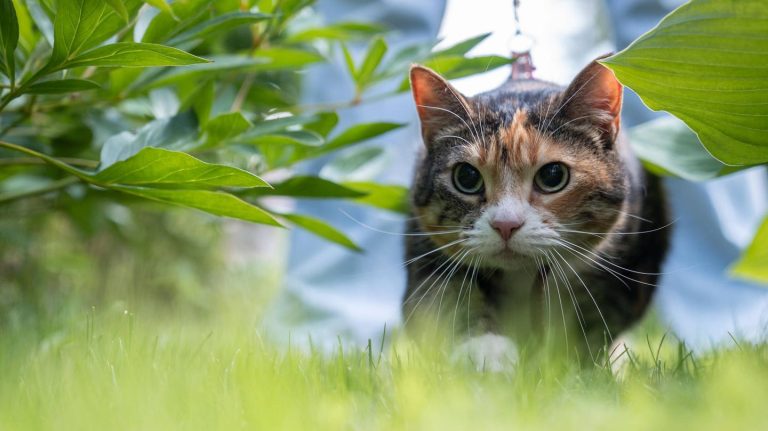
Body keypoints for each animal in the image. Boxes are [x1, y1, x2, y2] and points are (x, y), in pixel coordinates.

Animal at [404, 57, 668, 372]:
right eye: (466, 177)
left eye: (553, 175)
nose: (506, 224)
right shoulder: (427, 253)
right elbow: (448, 299)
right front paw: (486, 352)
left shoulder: (624, 268)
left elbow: (590, 322)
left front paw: (567, 363)